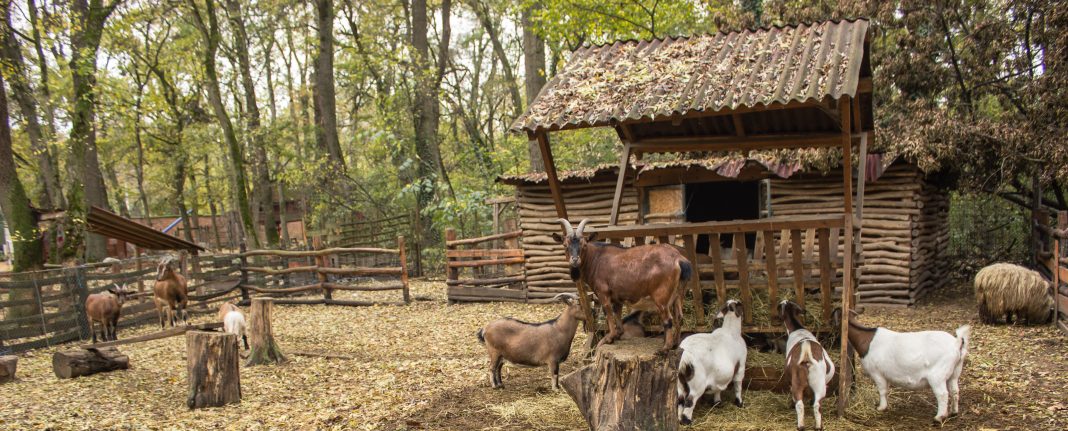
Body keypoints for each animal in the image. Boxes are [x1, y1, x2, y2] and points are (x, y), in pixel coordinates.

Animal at [553, 218, 692, 351]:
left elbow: (609, 313)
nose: (575, 260)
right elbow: (617, 313)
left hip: (661, 296)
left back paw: (665, 348)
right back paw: (675, 344)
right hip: (679, 293)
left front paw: (608, 338)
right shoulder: (617, 296)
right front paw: (618, 334)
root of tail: (679, 259)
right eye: (565, 245)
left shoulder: (603, 293)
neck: (596, 259)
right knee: (679, 317)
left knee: (668, 319)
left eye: (584, 244)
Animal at [779, 300, 834, 431]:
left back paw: (801, 425)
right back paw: (818, 426)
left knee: (799, 404)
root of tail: (806, 355)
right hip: (819, 384)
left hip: (798, 381)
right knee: (817, 405)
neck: (797, 328)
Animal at [839, 310, 971, 424]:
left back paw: (939, 417)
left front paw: (881, 407)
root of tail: (957, 343)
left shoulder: (876, 372)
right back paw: (954, 412)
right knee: (954, 391)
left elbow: (882, 390)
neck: (867, 340)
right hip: (954, 373)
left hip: (938, 375)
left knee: (943, 394)